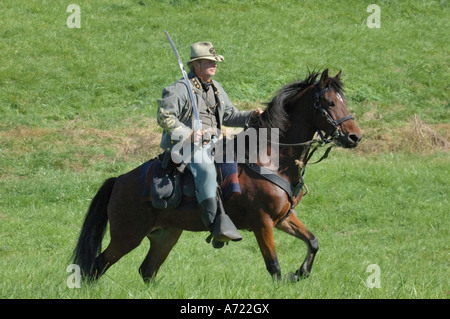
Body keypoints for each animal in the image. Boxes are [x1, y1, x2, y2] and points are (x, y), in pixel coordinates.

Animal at [73, 69, 362, 282]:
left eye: (344, 101)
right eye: (329, 102)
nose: (354, 137)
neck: (272, 157)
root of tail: (119, 181)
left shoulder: (283, 218)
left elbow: (312, 241)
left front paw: (301, 273)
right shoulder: (262, 223)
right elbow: (274, 267)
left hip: (165, 235)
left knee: (147, 271)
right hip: (127, 235)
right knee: (97, 266)